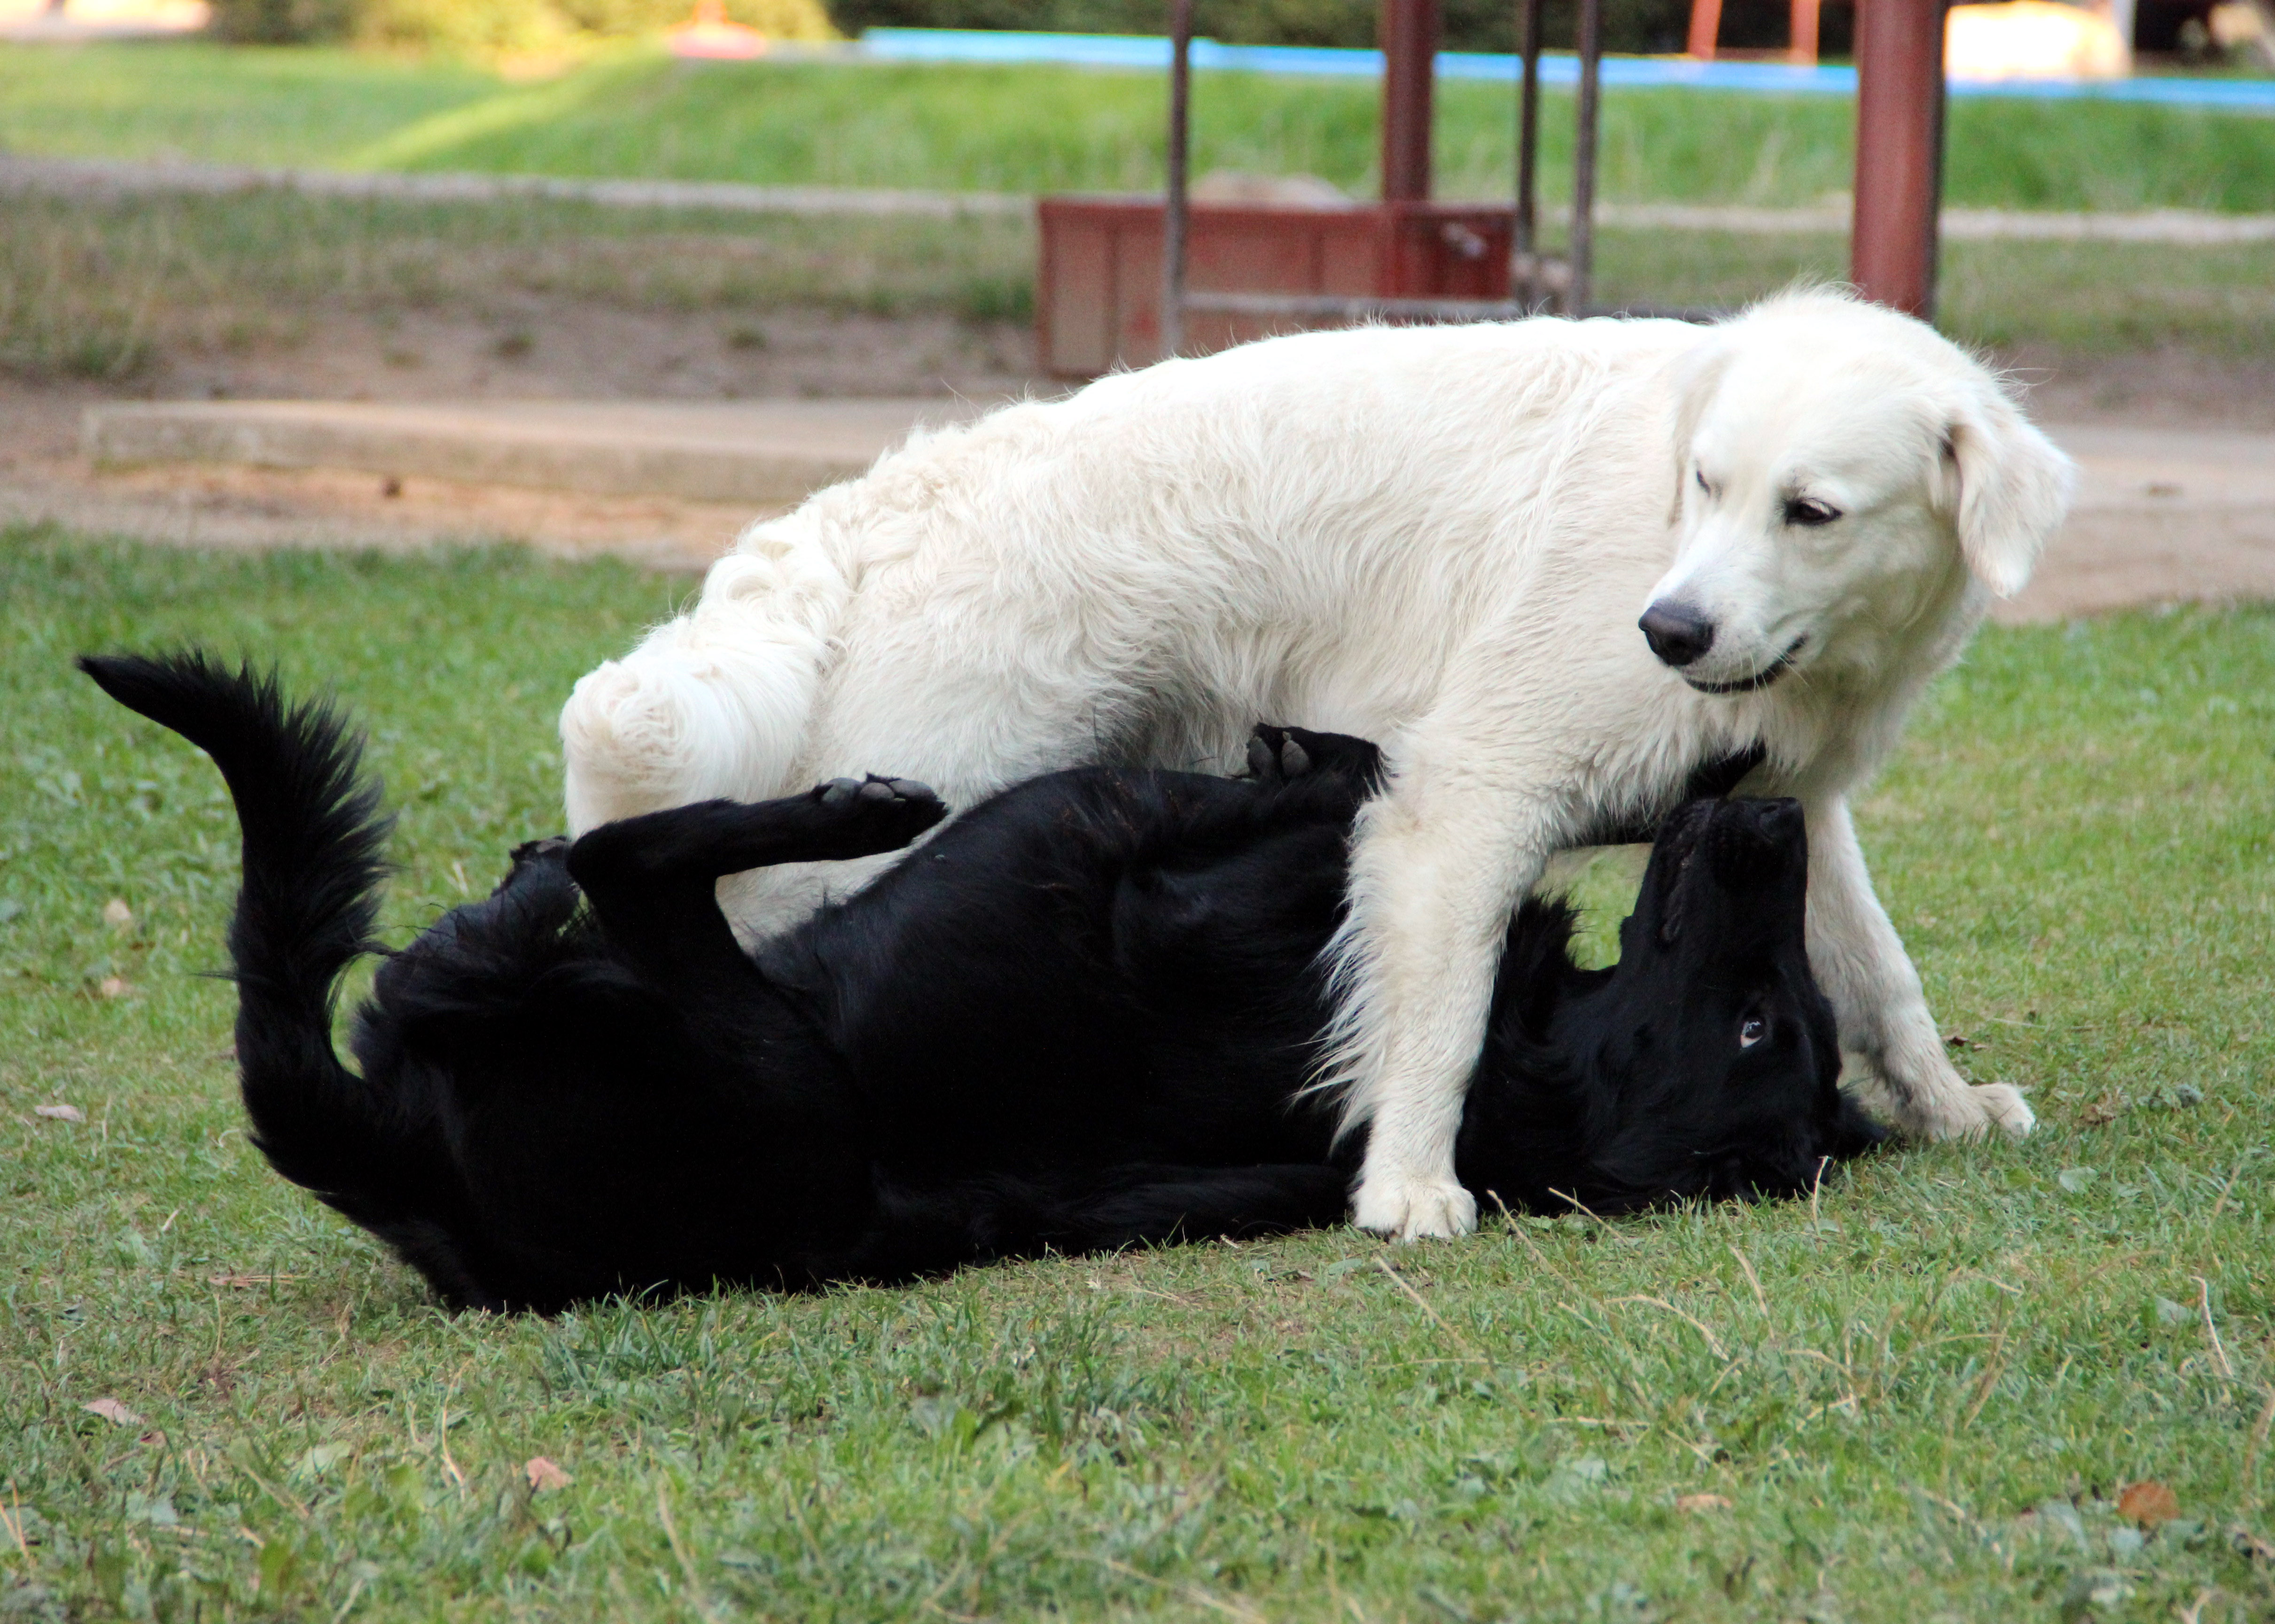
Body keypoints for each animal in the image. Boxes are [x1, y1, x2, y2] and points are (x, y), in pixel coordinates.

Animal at [80, 650, 1874, 1310]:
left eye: (1758, 1023)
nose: (1776, 812)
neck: (1511, 1068)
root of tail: (409, 1179)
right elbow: (1360, 760)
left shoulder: (1163, 879)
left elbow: (1325, 794)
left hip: (756, 1051)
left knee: (608, 881)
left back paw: (801, 820)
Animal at [560, 284, 2074, 1237]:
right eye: (1703, 485)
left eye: (1809, 511)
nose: (1667, 630)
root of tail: (875, 505)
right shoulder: (1460, 804)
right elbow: (1440, 1019)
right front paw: (1407, 1189)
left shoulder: (1782, 807)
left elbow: (1877, 974)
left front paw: (1945, 1105)